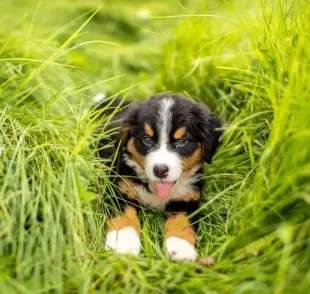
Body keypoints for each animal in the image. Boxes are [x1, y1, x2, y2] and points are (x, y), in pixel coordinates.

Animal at [95, 93, 223, 260]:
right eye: (146, 140)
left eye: (182, 141)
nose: (160, 170)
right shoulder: (119, 190)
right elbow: (124, 218)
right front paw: (122, 245)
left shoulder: (188, 199)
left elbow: (181, 223)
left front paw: (180, 249)